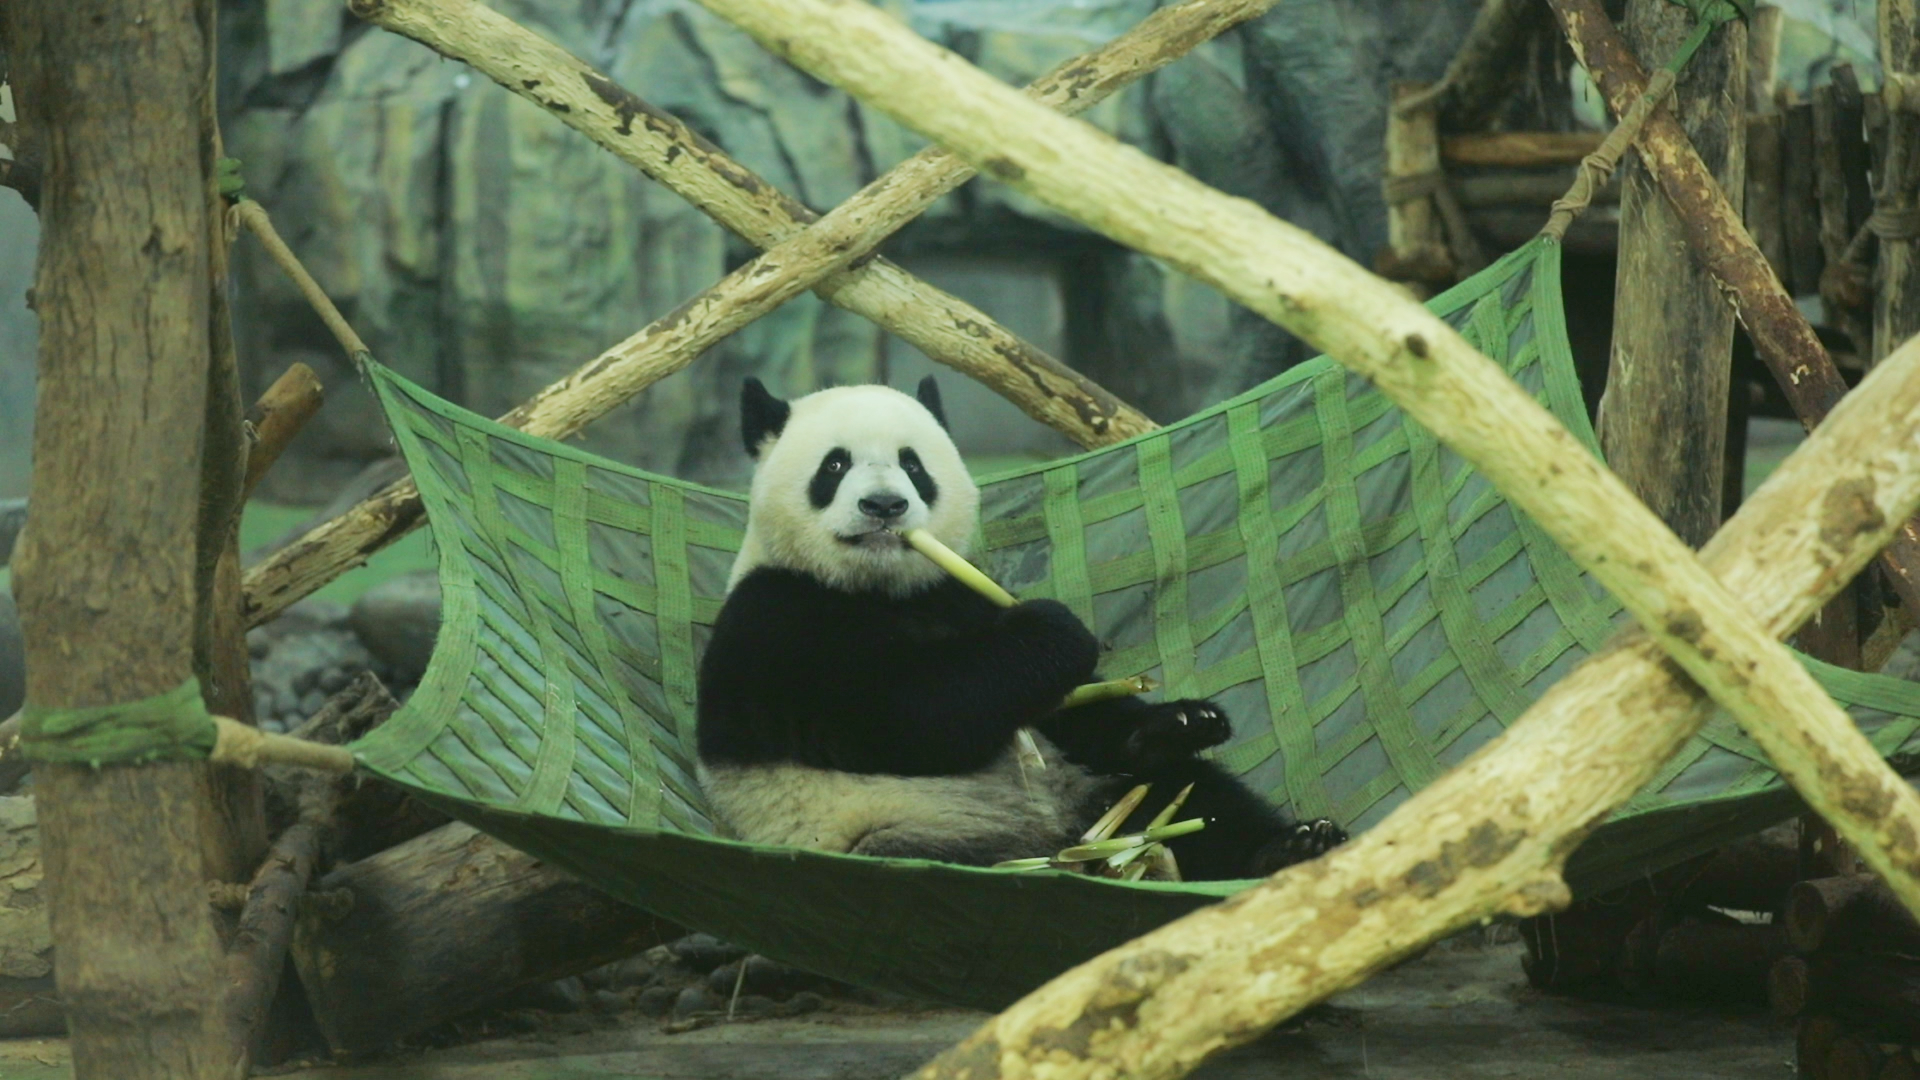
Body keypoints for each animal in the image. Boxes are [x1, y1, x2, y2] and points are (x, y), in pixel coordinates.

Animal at [693, 376, 1348, 880]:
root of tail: (1063, 848)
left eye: (912, 464)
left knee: (1185, 793)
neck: (881, 588)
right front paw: (1058, 629)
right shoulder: (775, 622)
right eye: (834, 464)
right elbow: (908, 715)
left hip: (1093, 792)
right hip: (906, 829)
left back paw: (1289, 848)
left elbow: (1070, 712)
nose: (884, 507)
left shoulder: (957, 595)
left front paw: (1185, 720)